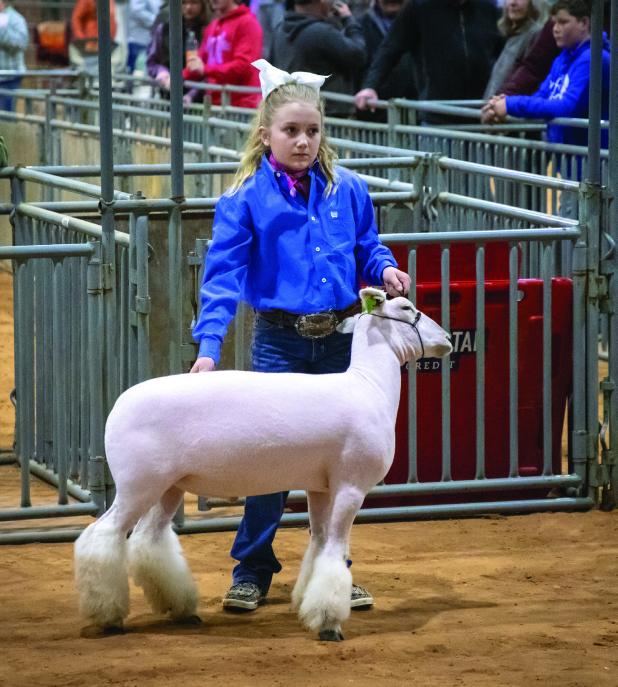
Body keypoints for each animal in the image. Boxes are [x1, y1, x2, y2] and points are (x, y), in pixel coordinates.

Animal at [76, 288, 452, 644]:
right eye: (406, 308)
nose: (447, 339)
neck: (369, 386)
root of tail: (117, 407)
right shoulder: (351, 485)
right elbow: (333, 550)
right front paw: (329, 624)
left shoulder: (319, 486)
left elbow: (319, 543)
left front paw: (306, 604)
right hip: (138, 483)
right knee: (102, 536)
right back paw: (108, 615)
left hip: (170, 485)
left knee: (148, 540)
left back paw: (180, 610)